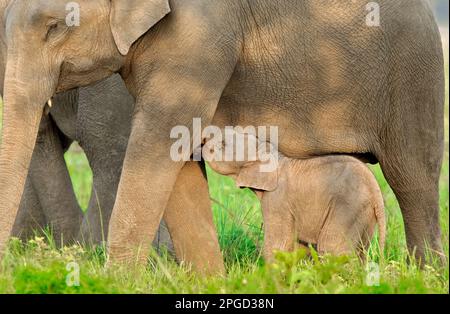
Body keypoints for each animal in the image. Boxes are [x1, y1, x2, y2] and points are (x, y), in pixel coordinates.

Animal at [202, 131, 384, 262]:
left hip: (349, 207)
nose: (203, 140)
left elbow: (278, 243)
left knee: (332, 247)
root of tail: (375, 190)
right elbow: (298, 246)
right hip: (364, 213)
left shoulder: (277, 199)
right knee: (360, 251)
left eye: (223, 144)